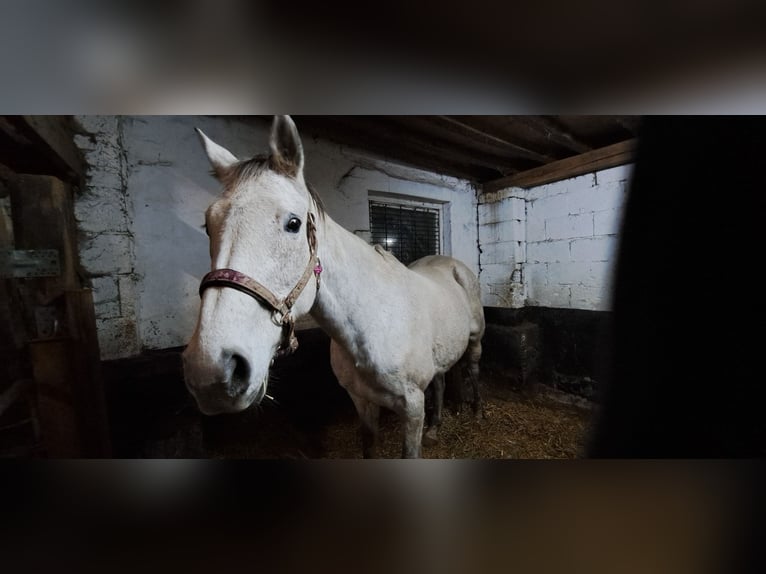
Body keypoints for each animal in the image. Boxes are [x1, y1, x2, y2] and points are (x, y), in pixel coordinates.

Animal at [184, 117, 486, 460]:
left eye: (294, 223)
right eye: (208, 225)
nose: (210, 373)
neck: (371, 324)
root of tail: (451, 263)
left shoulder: (411, 408)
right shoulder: (362, 401)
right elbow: (369, 446)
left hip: (475, 341)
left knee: (472, 369)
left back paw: (476, 412)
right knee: (441, 381)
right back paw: (436, 427)